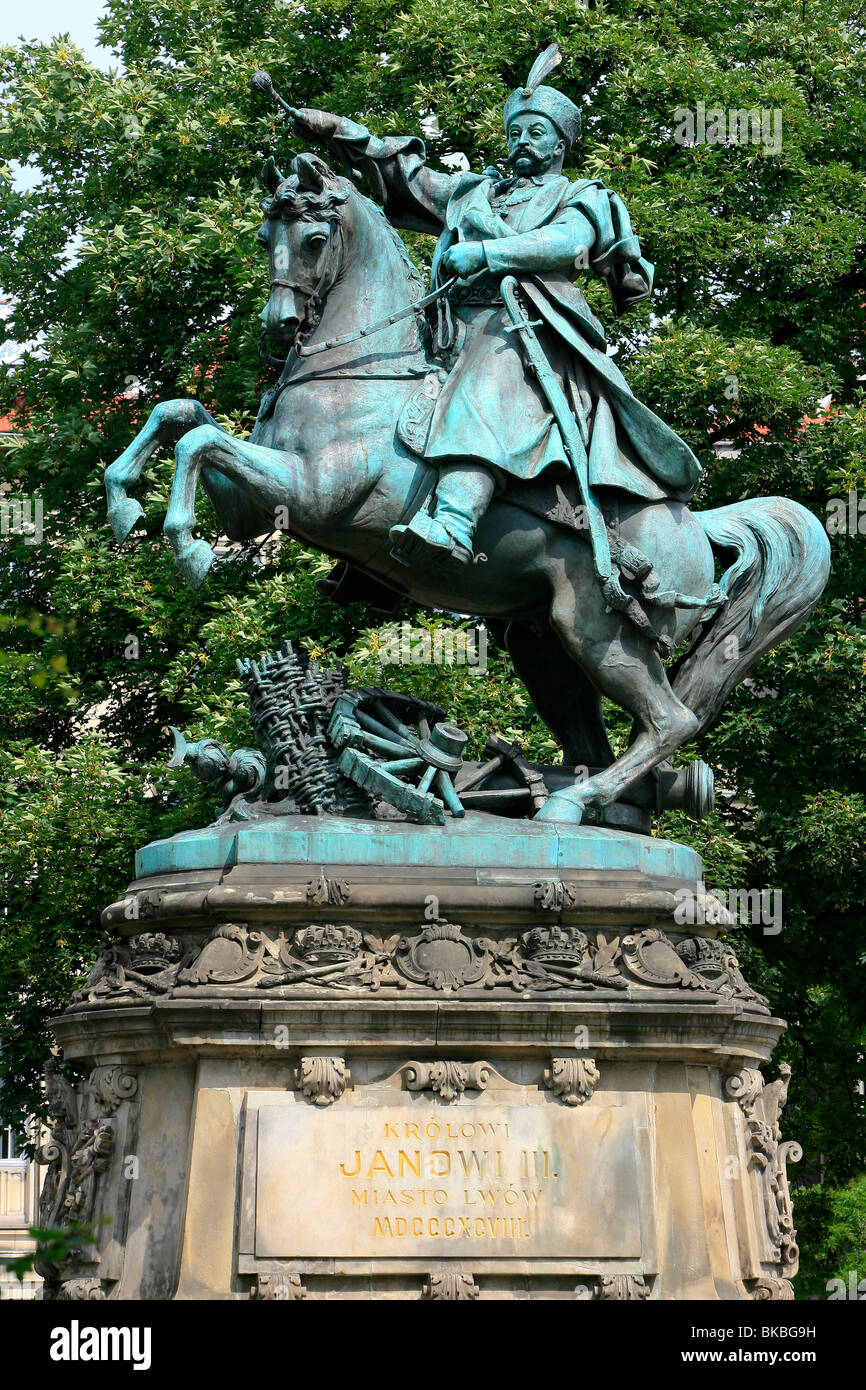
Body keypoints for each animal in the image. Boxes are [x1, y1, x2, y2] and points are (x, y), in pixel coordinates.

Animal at [104, 152, 828, 822]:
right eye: (262, 238)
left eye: (312, 239)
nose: (278, 327)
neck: (365, 372)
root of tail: (696, 525)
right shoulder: (254, 508)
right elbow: (180, 416)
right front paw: (122, 498)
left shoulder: (308, 495)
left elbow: (199, 441)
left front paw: (185, 546)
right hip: (546, 642)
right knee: (600, 738)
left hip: (603, 633)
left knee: (671, 722)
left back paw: (570, 803)